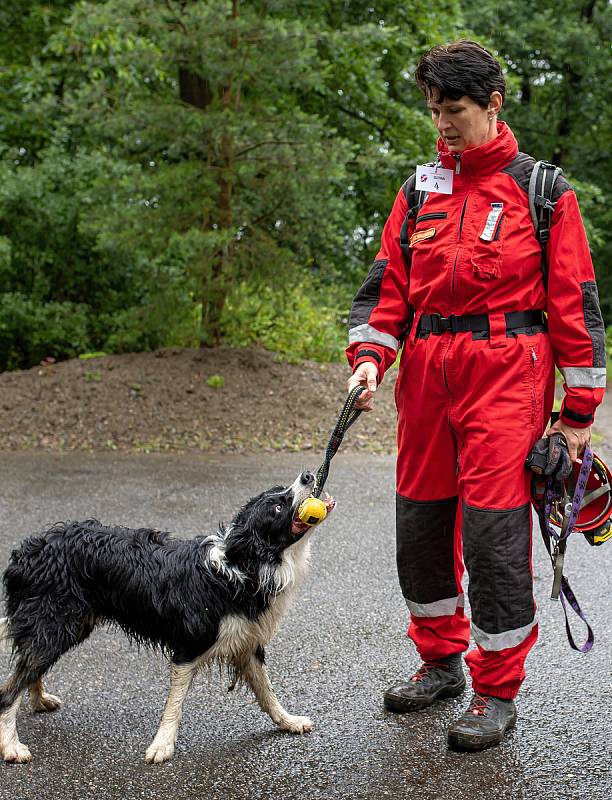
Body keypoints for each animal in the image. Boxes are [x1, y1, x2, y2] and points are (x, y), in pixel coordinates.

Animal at [0, 472, 334, 764]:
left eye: (281, 491)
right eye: (278, 506)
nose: (307, 475)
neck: (242, 566)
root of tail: (26, 551)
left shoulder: (247, 643)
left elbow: (267, 693)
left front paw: (288, 721)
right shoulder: (190, 646)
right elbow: (175, 704)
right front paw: (162, 746)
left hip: (67, 626)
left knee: (27, 669)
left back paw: (39, 700)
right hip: (56, 625)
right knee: (9, 690)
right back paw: (12, 746)